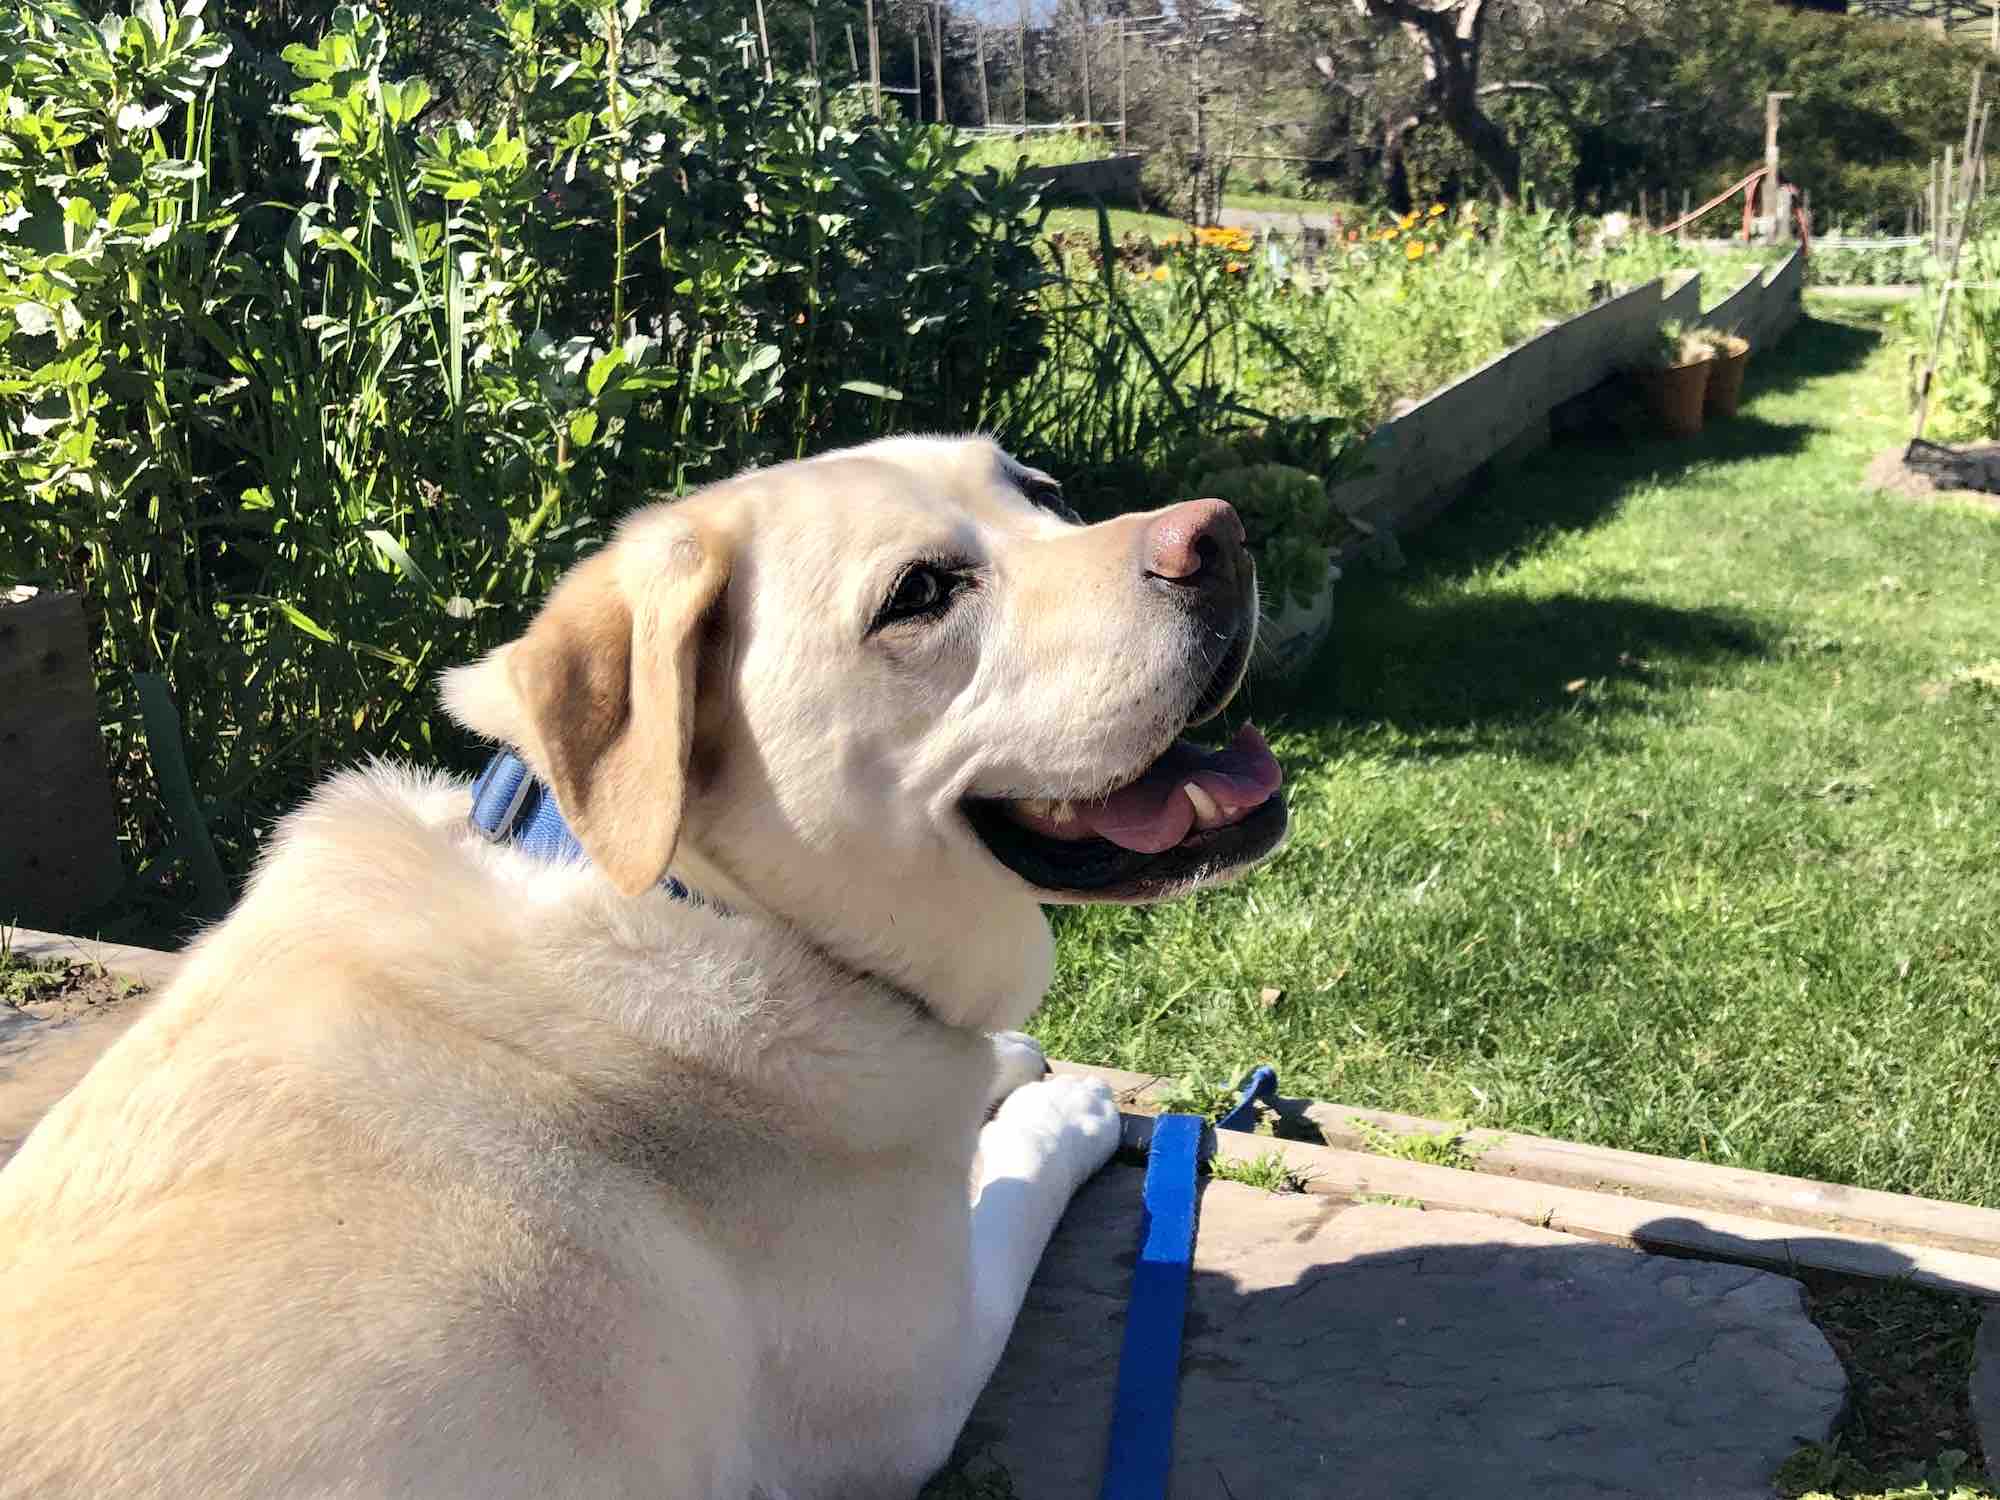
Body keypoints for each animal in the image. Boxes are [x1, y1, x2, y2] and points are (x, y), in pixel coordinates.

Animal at [0, 438, 1280, 1500]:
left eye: (1042, 493)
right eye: (918, 594)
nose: (1218, 532)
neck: (695, 896)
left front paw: (1008, 1064)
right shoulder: (917, 1377)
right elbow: (1011, 1173)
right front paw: (1056, 1104)